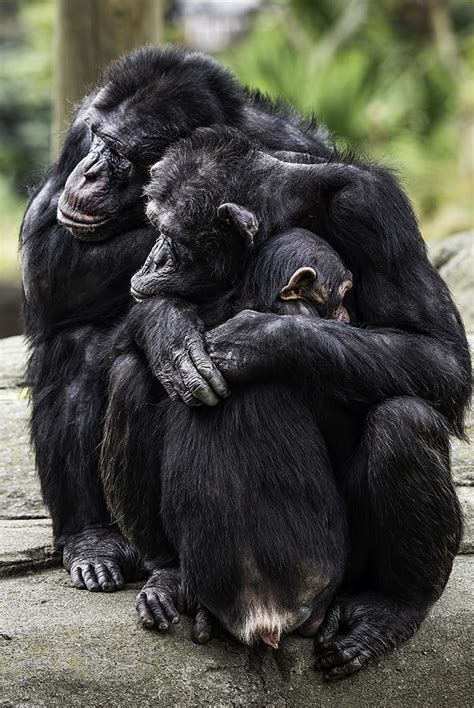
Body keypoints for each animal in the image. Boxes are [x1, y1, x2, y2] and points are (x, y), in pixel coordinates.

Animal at [19, 45, 334, 592]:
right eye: (100, 141)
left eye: (120, 155)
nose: (90, 172)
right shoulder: (79, 130)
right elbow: (45, 264)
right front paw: (167, 324)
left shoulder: (296, 148)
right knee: (75, 347)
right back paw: (92, 541)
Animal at [102, 129, 468, 680]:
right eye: (158, 232)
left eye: (175, 237)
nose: (154, 258)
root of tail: (265, 611)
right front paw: (171, 332)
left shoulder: (374, 209)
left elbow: (442, 356)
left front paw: (260, 341)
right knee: (129, 375)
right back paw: (169, 577)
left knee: (404, 420)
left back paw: (386, 612)